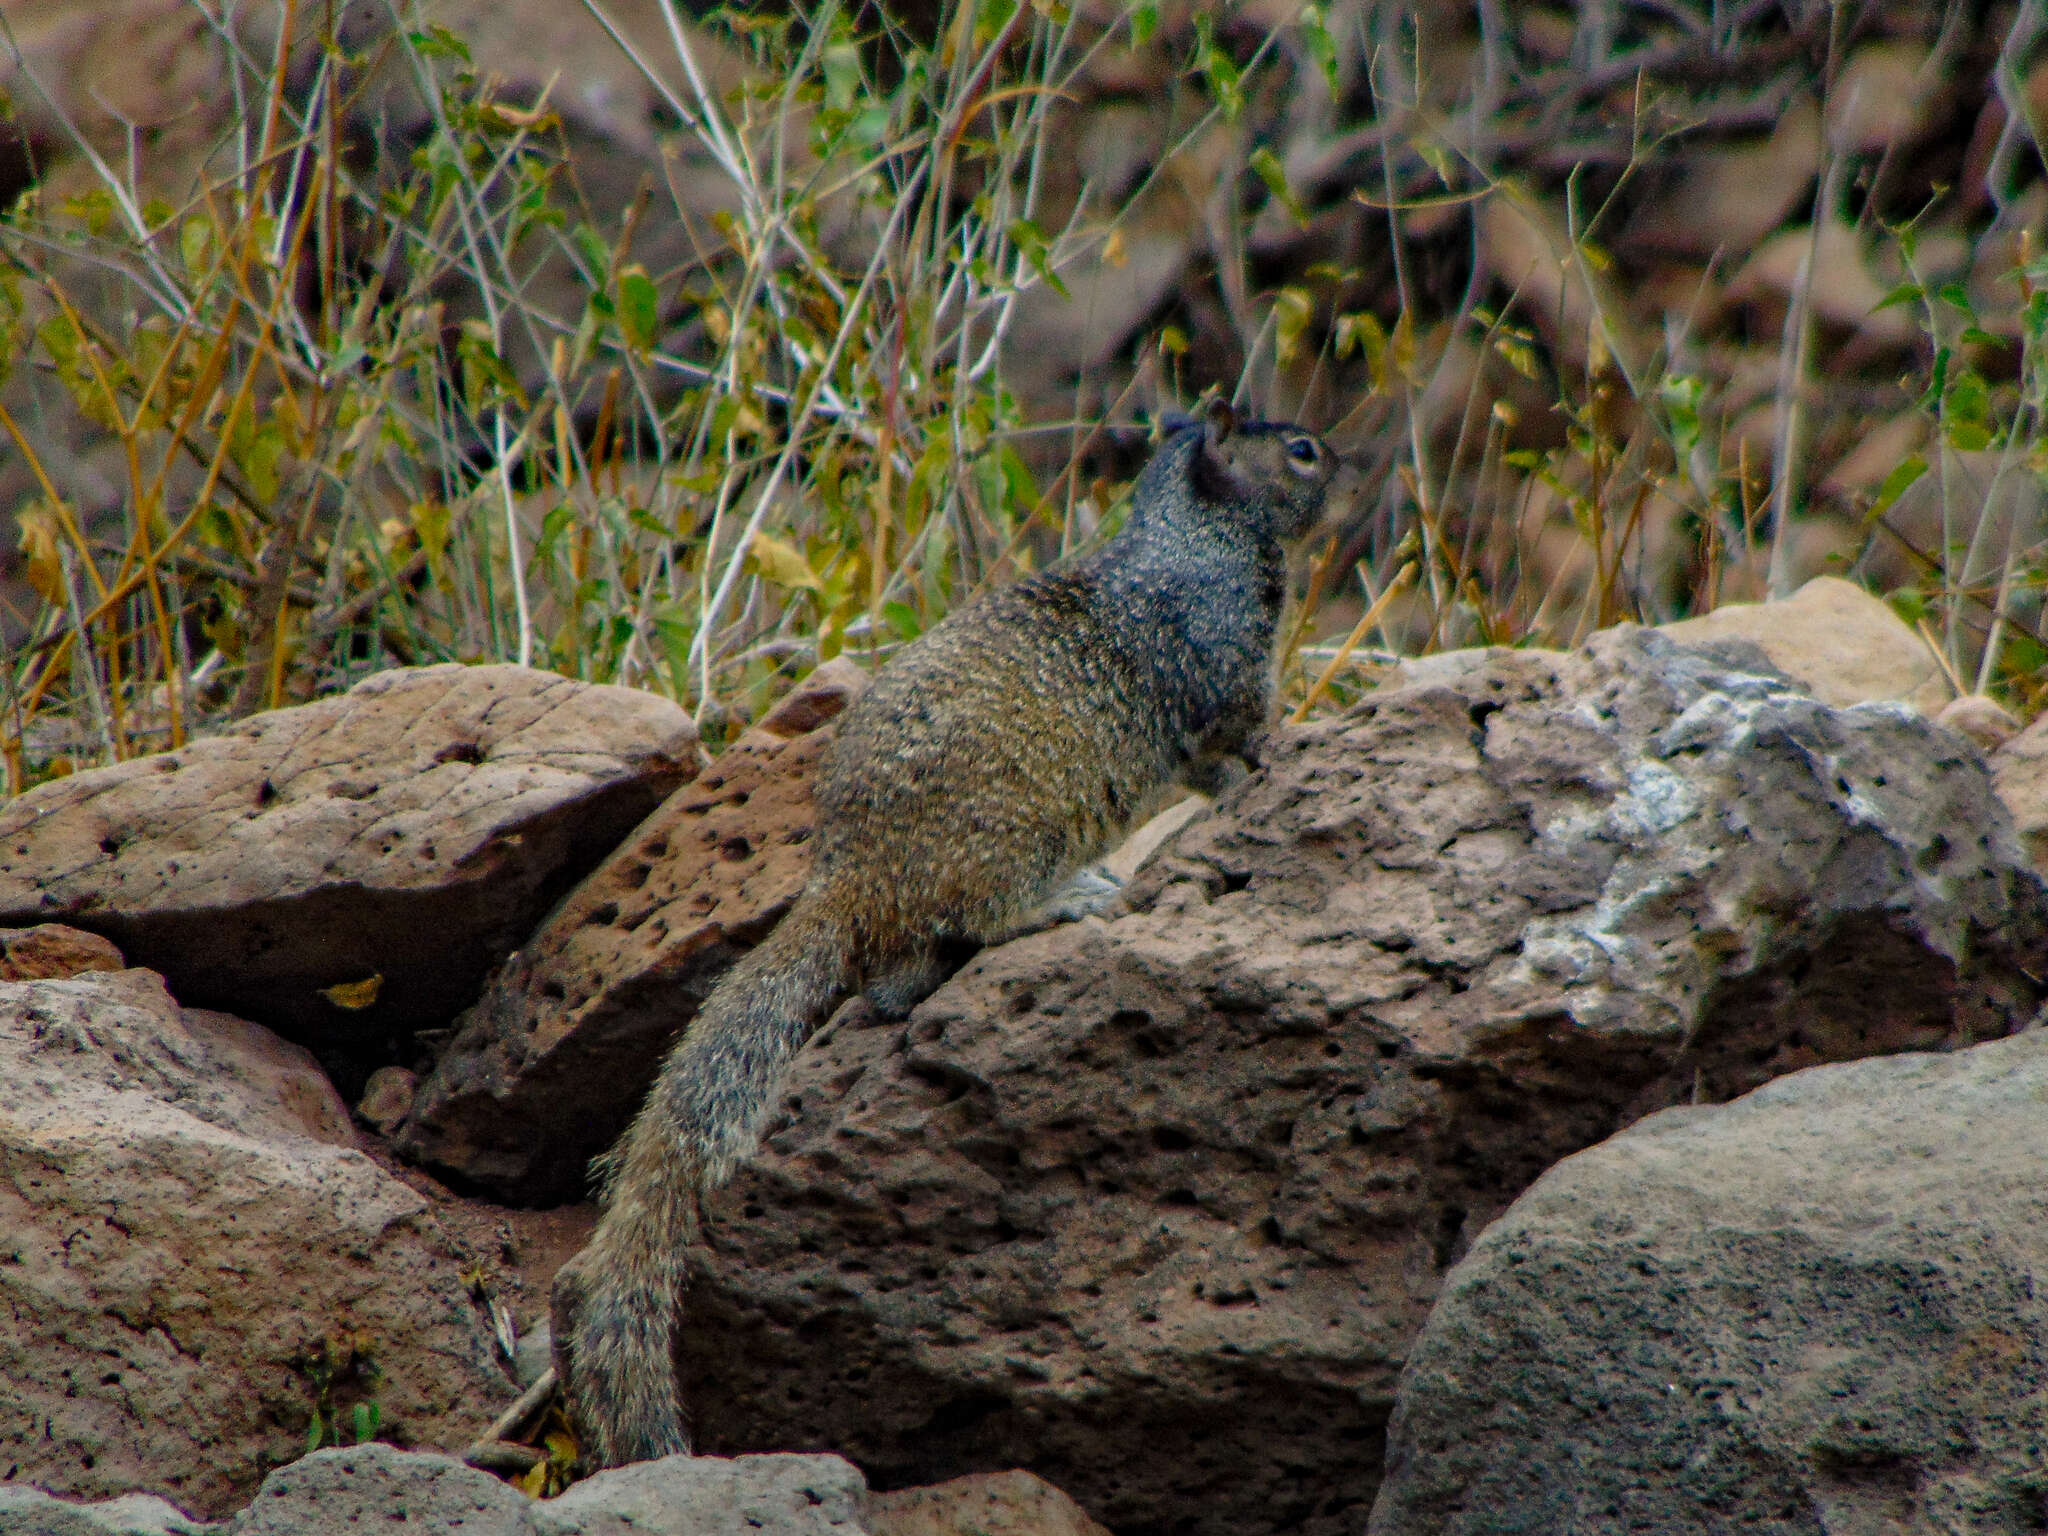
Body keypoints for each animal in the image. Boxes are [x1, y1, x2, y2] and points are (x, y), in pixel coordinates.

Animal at [548, 397, 1343, 1466]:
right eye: (1298, 449)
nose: (1347, 466)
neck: (1194, 534)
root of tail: (845, 882)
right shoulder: (1222, 663)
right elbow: (1234, 740)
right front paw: (1285, 753)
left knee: (893, 980)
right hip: (1004, 838)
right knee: (962, 928)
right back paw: (1069, 898)